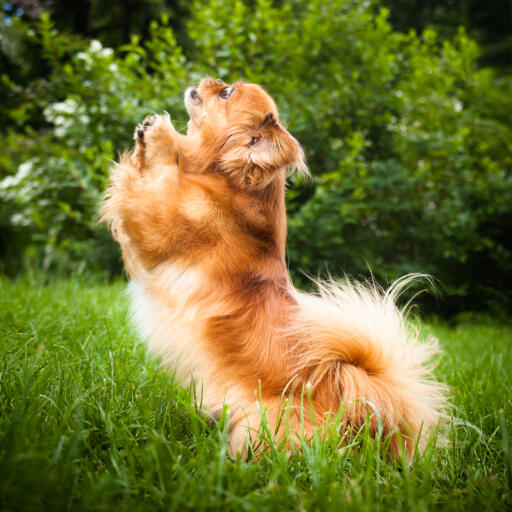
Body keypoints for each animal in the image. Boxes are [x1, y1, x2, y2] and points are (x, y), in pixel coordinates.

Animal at [102, 78, 446, 458]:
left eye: (226, 93)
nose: (209, 80)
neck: (223, 180)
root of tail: (366, 414)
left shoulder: (159, 219)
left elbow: (156, 179)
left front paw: (160, 135)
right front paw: (147, 138)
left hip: (260, 424)